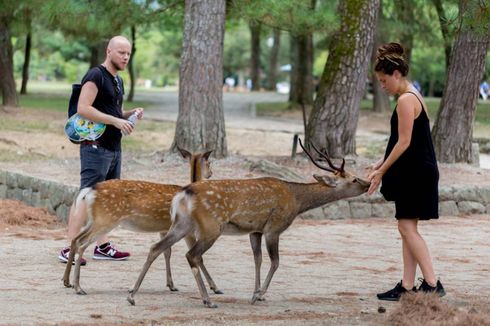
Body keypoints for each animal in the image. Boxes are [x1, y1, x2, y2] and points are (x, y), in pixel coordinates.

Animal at [62, 148, 224, 296]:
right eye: (209, 162)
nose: (211, 173)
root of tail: (90, 191)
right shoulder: (187, 230)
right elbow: (198, 257)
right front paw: (215, 287)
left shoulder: (164, 228)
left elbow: (167, 252)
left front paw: (171, 285)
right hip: (105, 219)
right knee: (82, 243)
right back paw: (78, 287)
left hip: (96, 219)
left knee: (76, 239)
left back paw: (67, 281)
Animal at [126, 140, 372, 308]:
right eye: (352, 179)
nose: (368, 183)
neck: (296, 201)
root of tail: (183, 193)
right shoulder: (274, 227)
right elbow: (275, 262)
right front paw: (260, 294)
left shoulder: (255, 230)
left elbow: (258, 260)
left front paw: (255, 292)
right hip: (210, 226)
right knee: (192, 255)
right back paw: (208, 299)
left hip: (181, 224)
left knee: (156, 247)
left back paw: (132, 295)